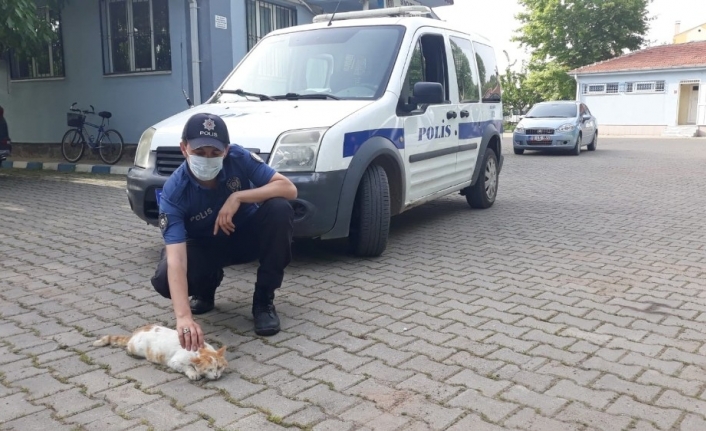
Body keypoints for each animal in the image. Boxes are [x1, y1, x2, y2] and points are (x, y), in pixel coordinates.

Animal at [92, 324, 227, 382]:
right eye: (209, 369)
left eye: (219, 367)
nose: (216, 376)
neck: (199, 349)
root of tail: (135, 333)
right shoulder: (174, 362)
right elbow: (187, 367)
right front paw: (193, 373)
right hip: (136, 349)